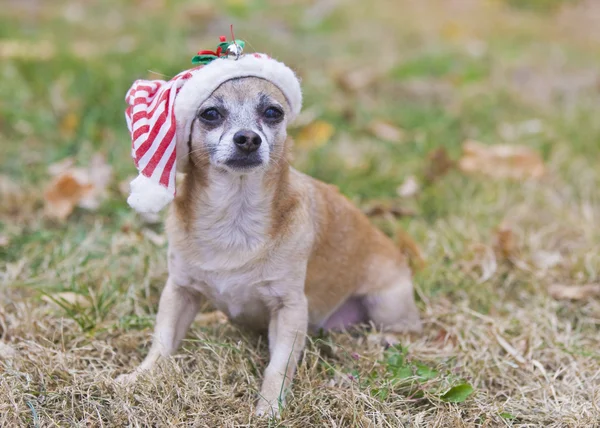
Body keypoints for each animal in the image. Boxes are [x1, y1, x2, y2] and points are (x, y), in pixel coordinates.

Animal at [115, 77, 420, 418]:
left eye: (273, 112)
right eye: (210, 114)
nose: (248, 138)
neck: (235, 216)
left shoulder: (289, 309)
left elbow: (279, 366)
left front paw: (270, 407)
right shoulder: (180, 292)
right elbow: (163, 340)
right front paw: (141, 376)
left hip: (386, 303)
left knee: (410, 329)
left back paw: (385, 339)